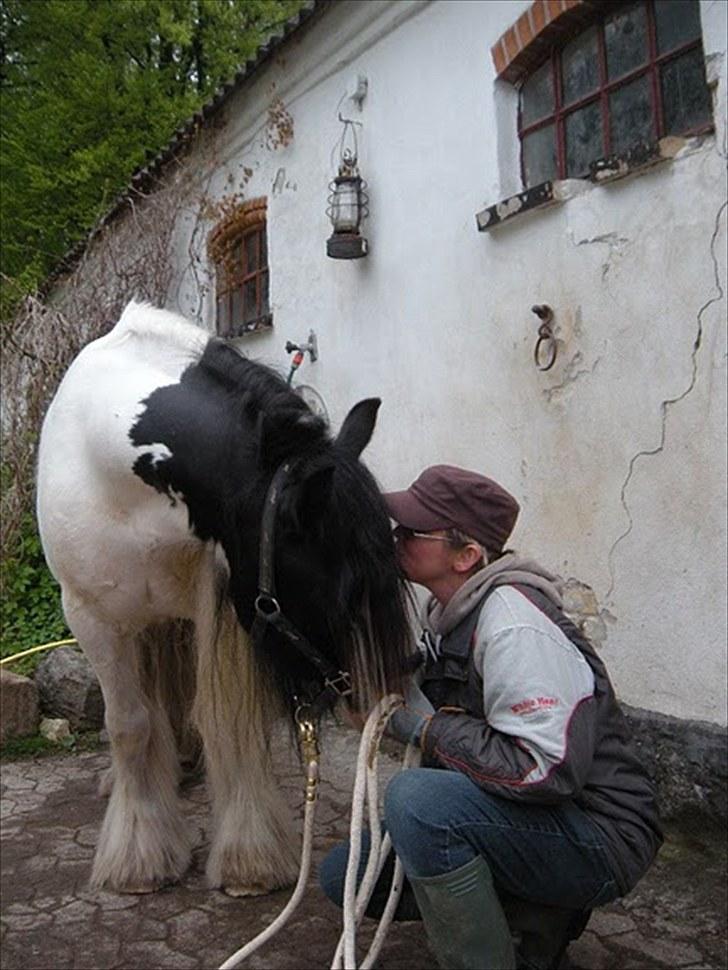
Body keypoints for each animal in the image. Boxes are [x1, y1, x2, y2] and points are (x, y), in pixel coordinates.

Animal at [35, 300, 410, 892]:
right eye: (344, 587)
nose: (382, 702)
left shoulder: (229, 603)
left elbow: (228, 726)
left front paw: (248, 862)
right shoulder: (92, 619)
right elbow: (129, 725)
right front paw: (139, 854)